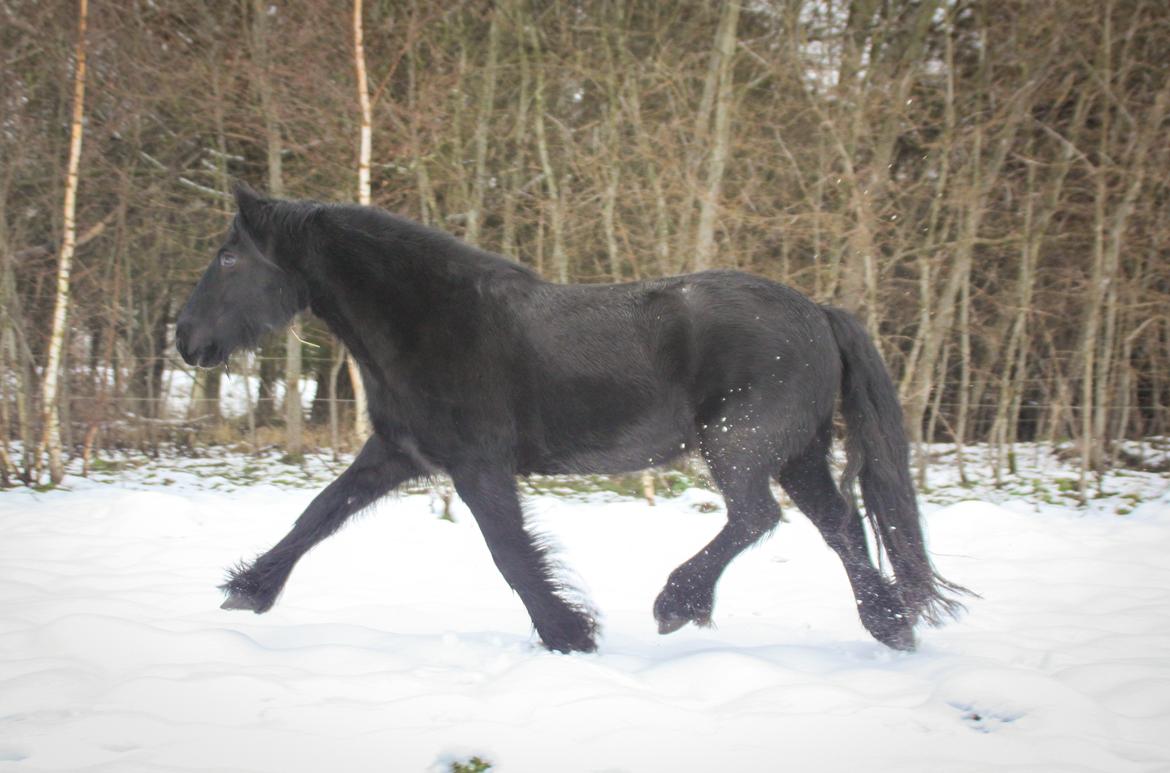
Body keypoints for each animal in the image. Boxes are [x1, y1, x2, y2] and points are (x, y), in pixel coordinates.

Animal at [176, 184, 968, 653]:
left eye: (227, 257)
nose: (185, 340)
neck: (431, 318)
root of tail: (821, 313)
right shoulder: (397, 452)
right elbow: (319, 513)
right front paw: (248, 589)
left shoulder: (477, 467)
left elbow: (511, 553)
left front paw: (569, 633)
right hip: (798, 453)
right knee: (840, 527)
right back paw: (890, 625)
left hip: (741, 445)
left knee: (756, 518)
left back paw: (677, 601)